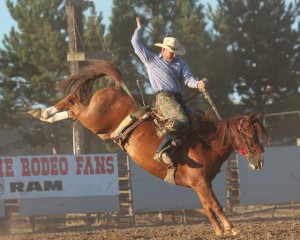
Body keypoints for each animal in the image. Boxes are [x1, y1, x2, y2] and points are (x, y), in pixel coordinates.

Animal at [28, 59, 268, 236]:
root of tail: (117, 88)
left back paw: (43, 114)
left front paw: (220, 231)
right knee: (72, 101)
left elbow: (209, 207)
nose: (260, 161)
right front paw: (232, 229)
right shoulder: (200, 182)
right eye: (250, 135)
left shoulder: (200, 185)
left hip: (100, 129)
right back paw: (44, 112)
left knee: (71, 110)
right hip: (93, 118)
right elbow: (216, 205)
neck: (207, 143)